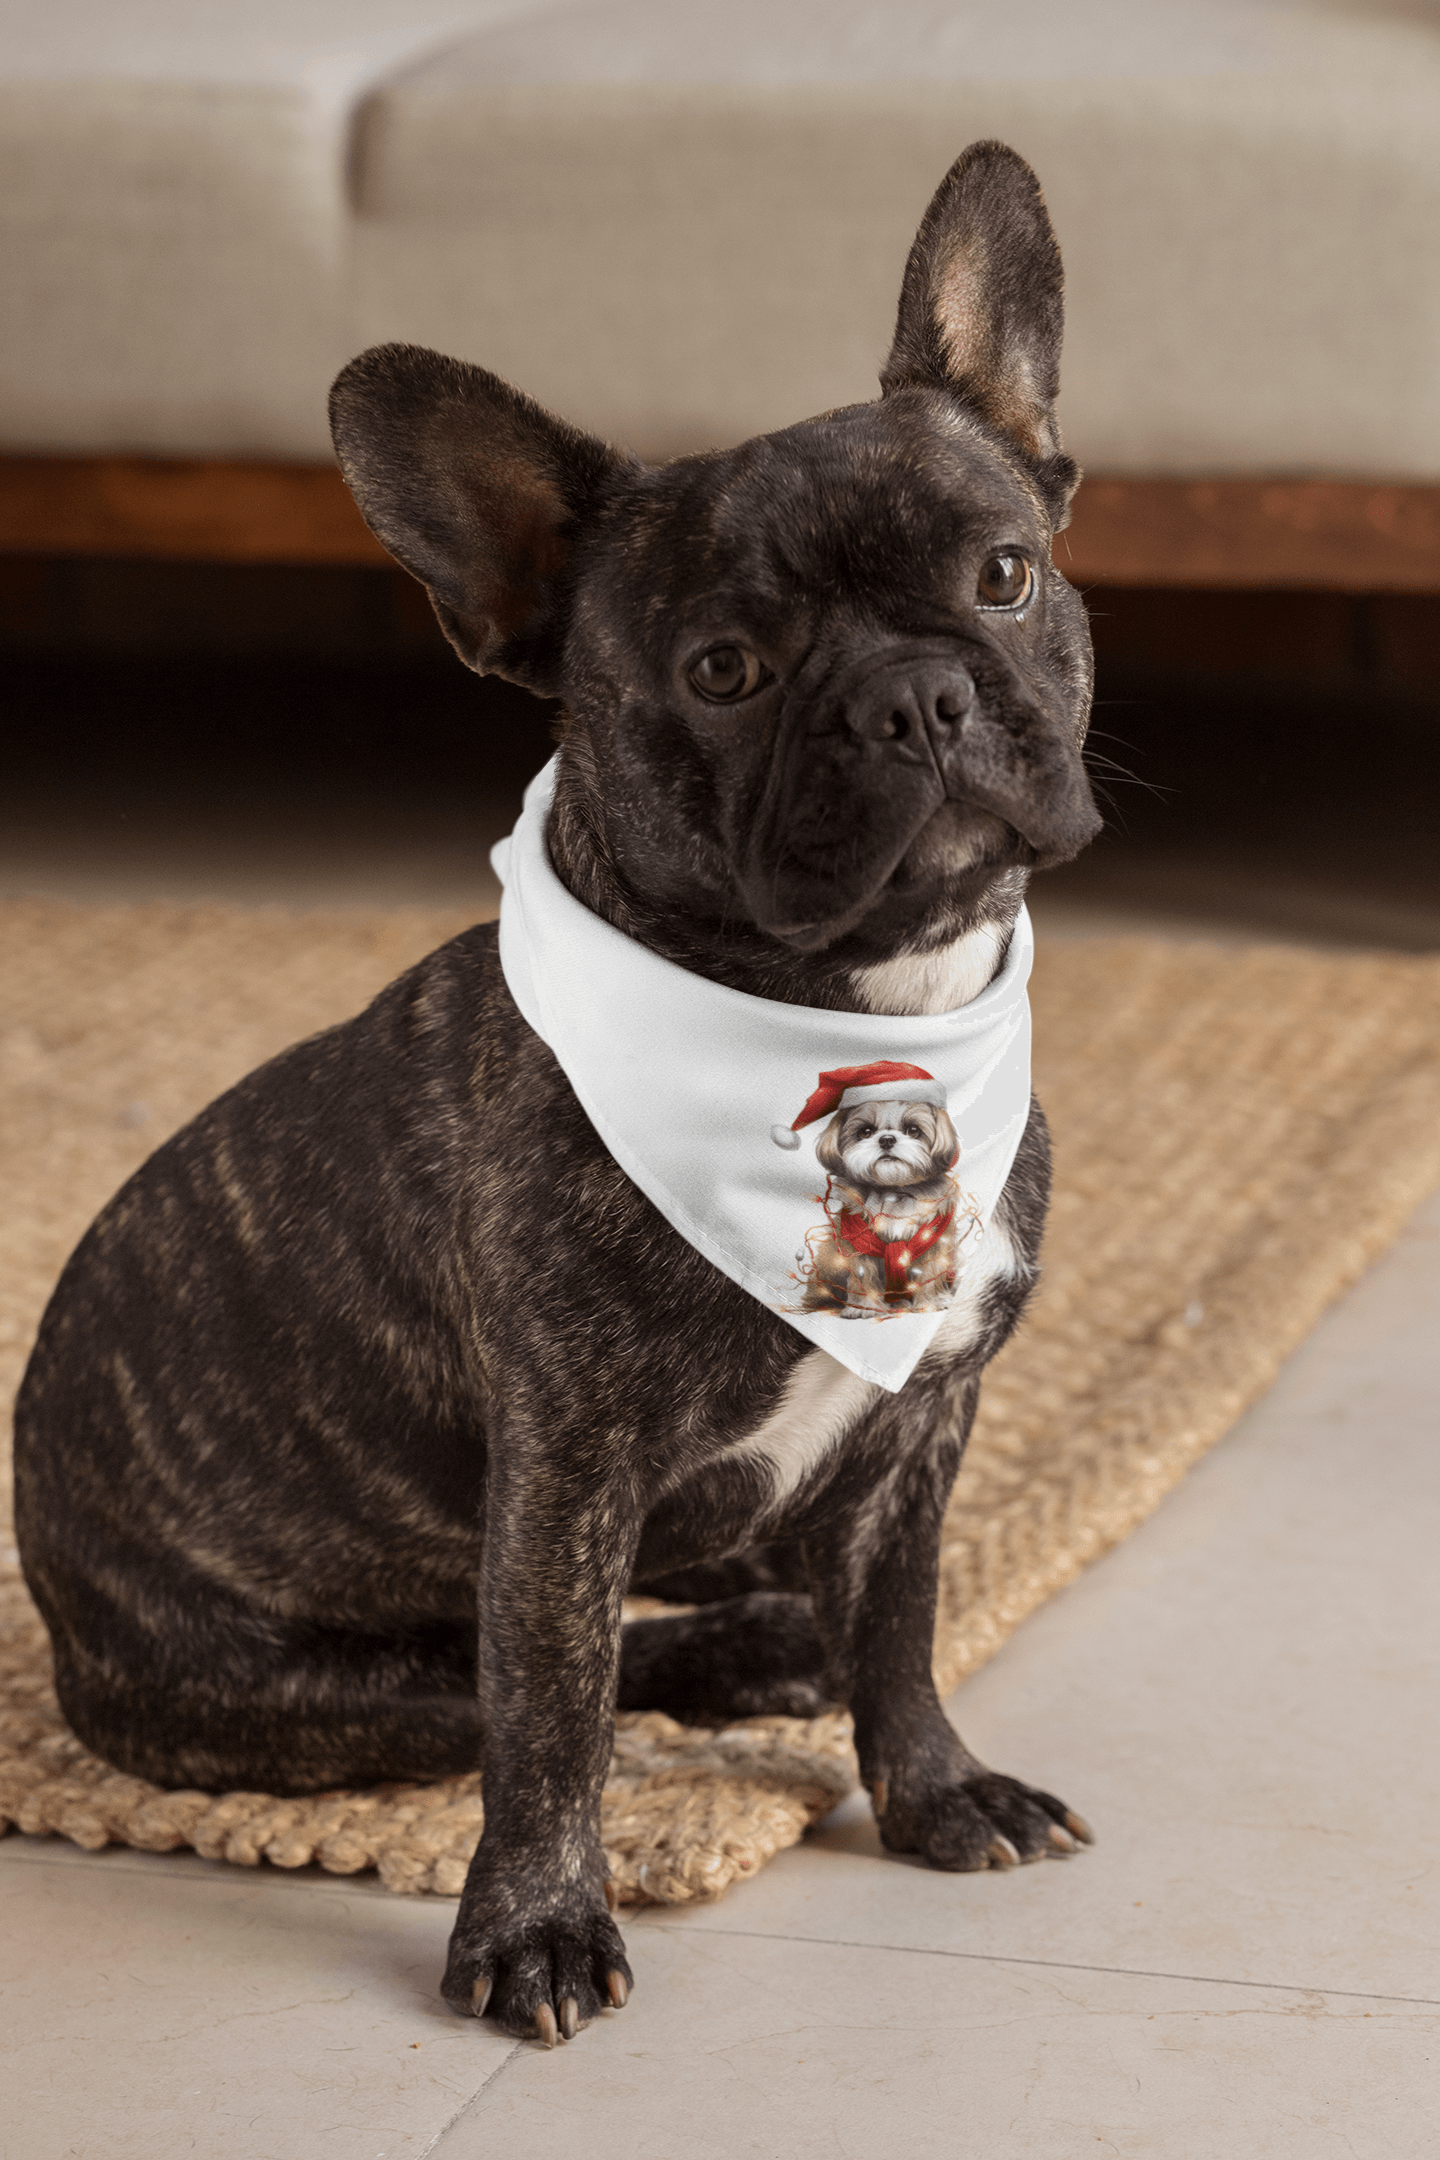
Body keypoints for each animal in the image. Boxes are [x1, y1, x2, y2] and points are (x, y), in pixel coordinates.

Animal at [11, 147, 1105, 2039]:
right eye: (725, 669)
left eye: (1005, 571)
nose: (914, 693)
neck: (835, 1008)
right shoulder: (564, 1475)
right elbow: (550, 1714)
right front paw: (534, 1926)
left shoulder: (926, 1417)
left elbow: (902, 1624)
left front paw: (938, 1788)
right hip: (286, 1697)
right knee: (505, 1692)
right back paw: (732, 1655)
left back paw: (769, 1627)